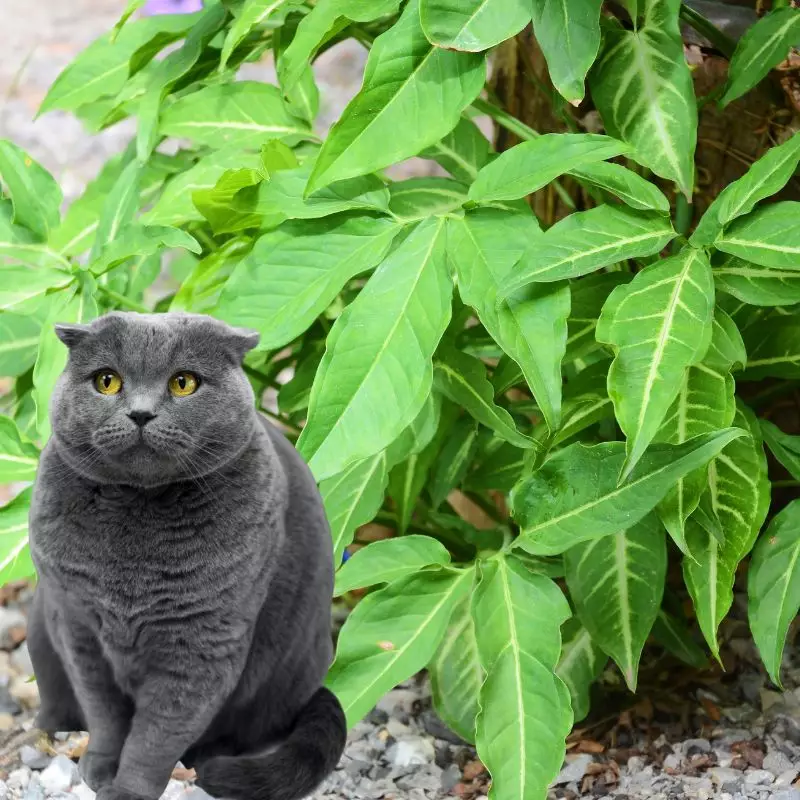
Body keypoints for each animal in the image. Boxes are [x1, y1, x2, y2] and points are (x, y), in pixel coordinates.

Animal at [26, 310, 346, 800]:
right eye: (106, 381)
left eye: (183, 383)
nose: (140, 412)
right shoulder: (78, 628)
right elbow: (104, 713)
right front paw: (99, 766)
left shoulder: (202, 643)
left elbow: (157, 734)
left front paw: (127, 789)